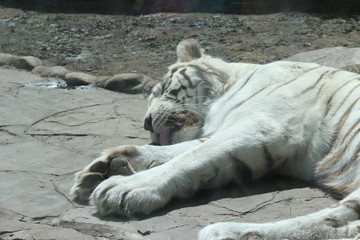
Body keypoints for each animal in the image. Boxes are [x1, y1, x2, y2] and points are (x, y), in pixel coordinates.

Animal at [71, 38, 360, 239]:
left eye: (164, 89)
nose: (146, 122)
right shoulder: (229, 132)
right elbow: (180, 152)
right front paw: (104, 167)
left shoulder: (263, 126)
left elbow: (188, 158)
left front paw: (124, 187)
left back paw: (227, 232)